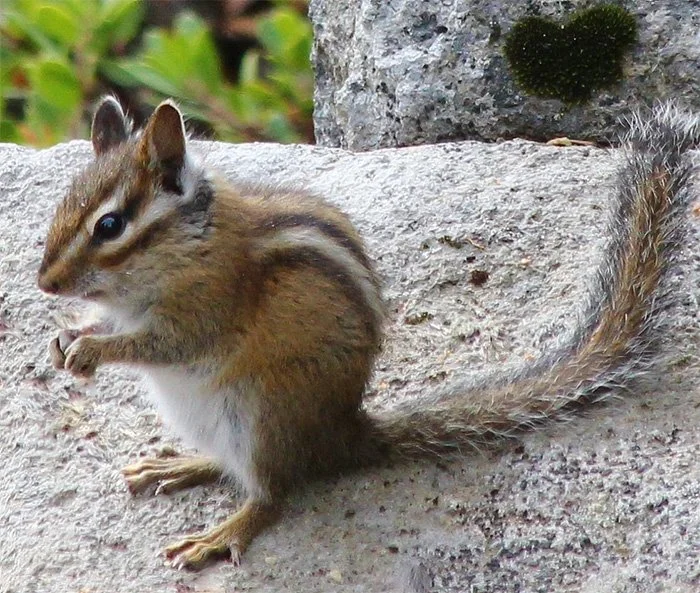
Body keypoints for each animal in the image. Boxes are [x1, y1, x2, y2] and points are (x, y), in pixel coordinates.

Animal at [37, 97, 699, 569]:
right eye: (59, 209)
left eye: (110, 226)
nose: (45, 283)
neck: (185, 244)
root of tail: (345, 435)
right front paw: (68, 339)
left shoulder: (208, 305)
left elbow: (165, 342)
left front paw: (94, 348)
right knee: (231, 468)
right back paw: (179, 466)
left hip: (259, 416)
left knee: (272, 492)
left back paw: (220, 533)